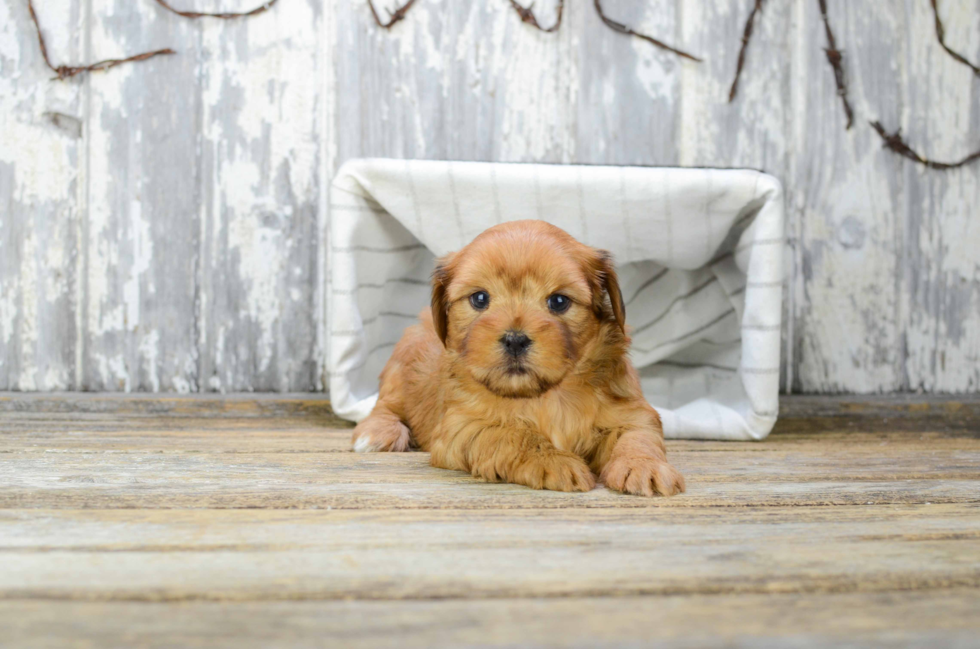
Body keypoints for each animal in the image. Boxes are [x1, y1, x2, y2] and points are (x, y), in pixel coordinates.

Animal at [350, 219, 680, 496]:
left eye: (558, 301)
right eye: (479, 298)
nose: (515, 339)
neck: (544, 396)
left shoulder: (631, 411)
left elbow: (637, 435)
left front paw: (643, 466)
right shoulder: (460, 427)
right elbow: (512, 434)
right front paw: (554, 461)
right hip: (400, 370)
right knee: (386, 406)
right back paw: (377, 434)